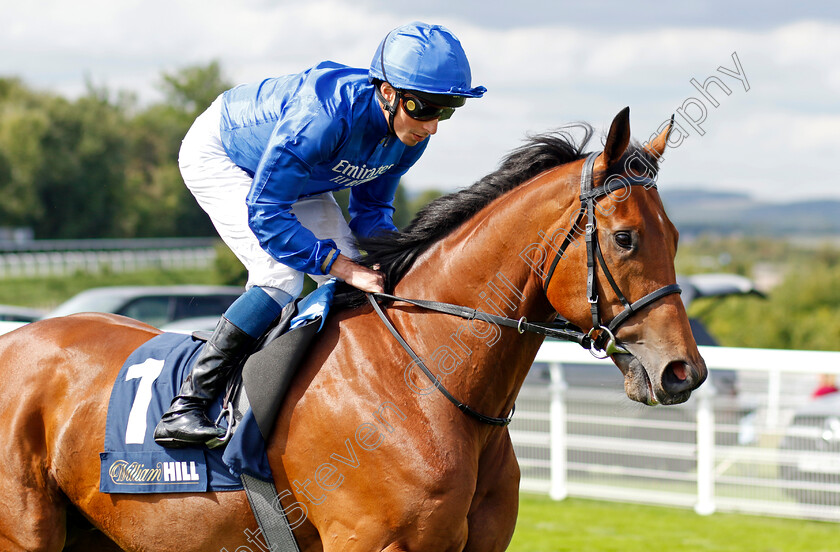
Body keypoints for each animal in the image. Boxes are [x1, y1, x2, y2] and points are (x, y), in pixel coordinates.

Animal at [0, 106, 708, 548]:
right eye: (624, 237)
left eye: (675, 236)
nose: (684, 371)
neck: (424, 382)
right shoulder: (372, 542)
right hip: (26, 531)